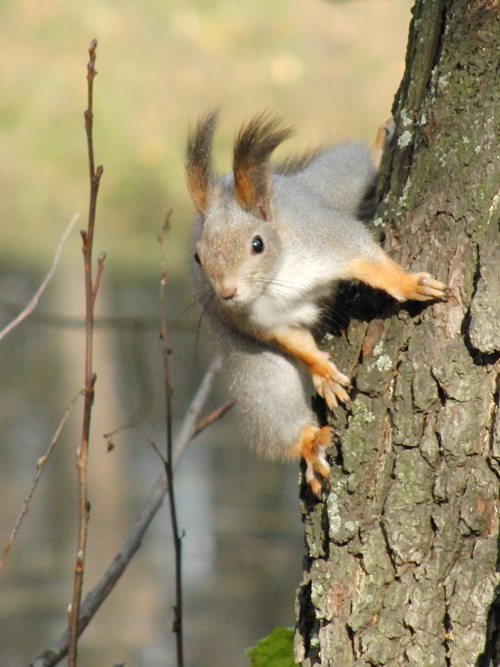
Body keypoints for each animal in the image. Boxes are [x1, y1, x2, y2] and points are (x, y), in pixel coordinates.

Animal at [185, 115, 446, 498]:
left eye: (257, 244)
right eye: (198, 257)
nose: (226, 292)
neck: (277, 281)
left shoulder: (329, 242)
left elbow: (370, 261)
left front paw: (409, 284)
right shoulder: (261, 323)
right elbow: (296, 344)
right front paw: (322, 372)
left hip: (330, 186)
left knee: (351, 169)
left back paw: (378, 146)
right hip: (255, 368)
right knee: (272, 402)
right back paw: (308, 443)